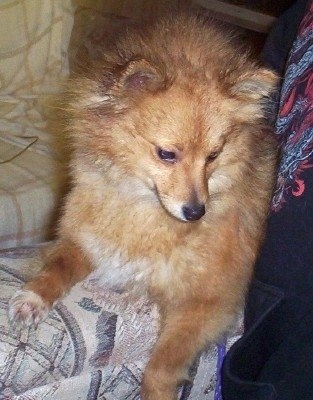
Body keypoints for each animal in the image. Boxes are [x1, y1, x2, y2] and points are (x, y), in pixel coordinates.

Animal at [7, 14, 276, 398]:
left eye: (214, 155)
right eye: (167, 154)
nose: (196, 212)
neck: (143, 208)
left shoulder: (209, 301)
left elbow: (160, 368)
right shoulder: (85, 244)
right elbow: (56, 268)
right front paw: (32, 297)